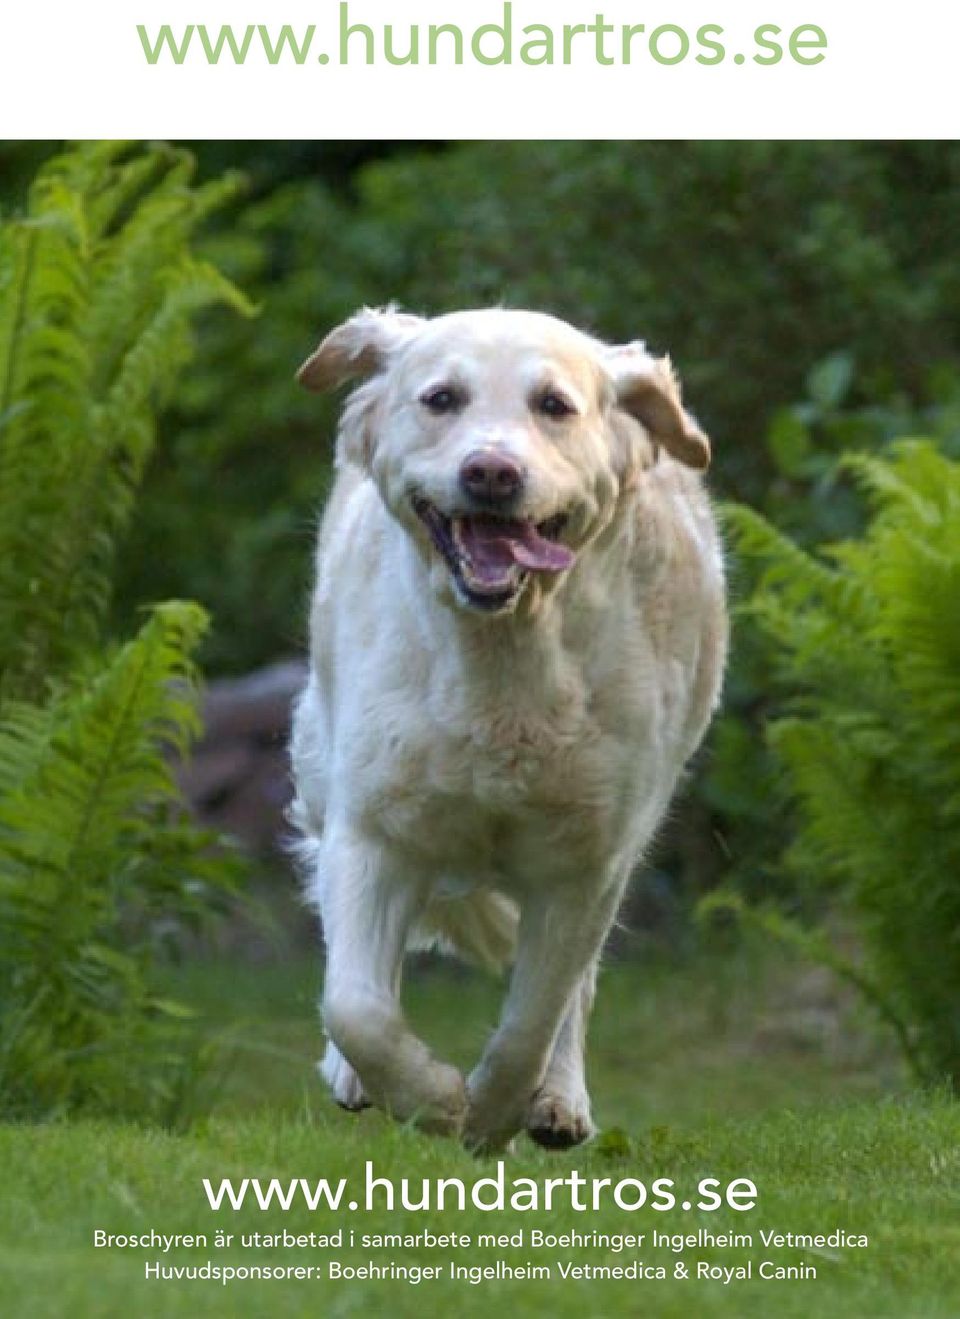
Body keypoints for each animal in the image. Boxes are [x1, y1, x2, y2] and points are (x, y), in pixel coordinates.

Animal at [288, 303, 722, 1150]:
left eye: (554, 405)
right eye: (441, 398)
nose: (492, 473)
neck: (503, 658)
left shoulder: (588, 859)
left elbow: (534, 1014)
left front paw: (490, 1113)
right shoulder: (374, 827)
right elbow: (356, 1004)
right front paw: (427, 1095)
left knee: (571, 991)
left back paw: (557, 1101)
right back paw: (354, 1078)